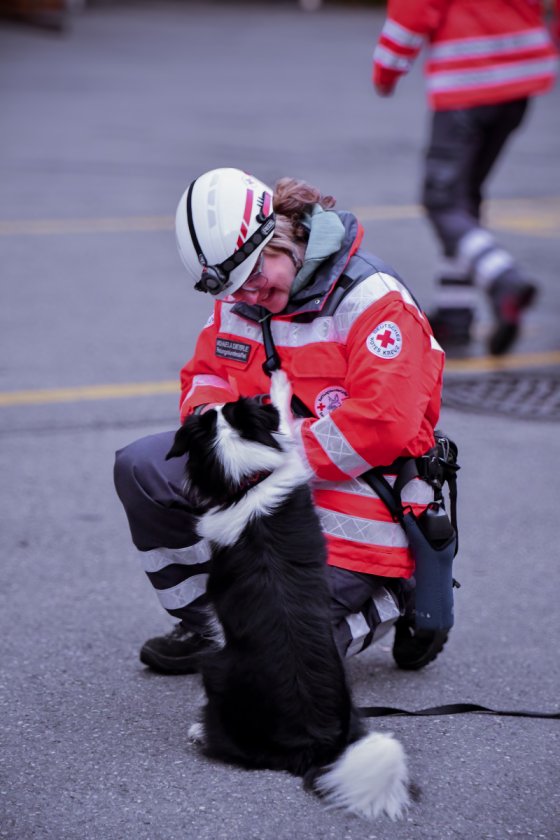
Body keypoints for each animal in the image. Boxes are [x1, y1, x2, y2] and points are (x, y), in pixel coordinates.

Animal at [165, 372, 406, 820]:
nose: (211, 404)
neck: (247, 484)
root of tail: (312, 743)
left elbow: (290, 429)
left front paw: (278, 382)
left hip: (215, 668)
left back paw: (200, 731)